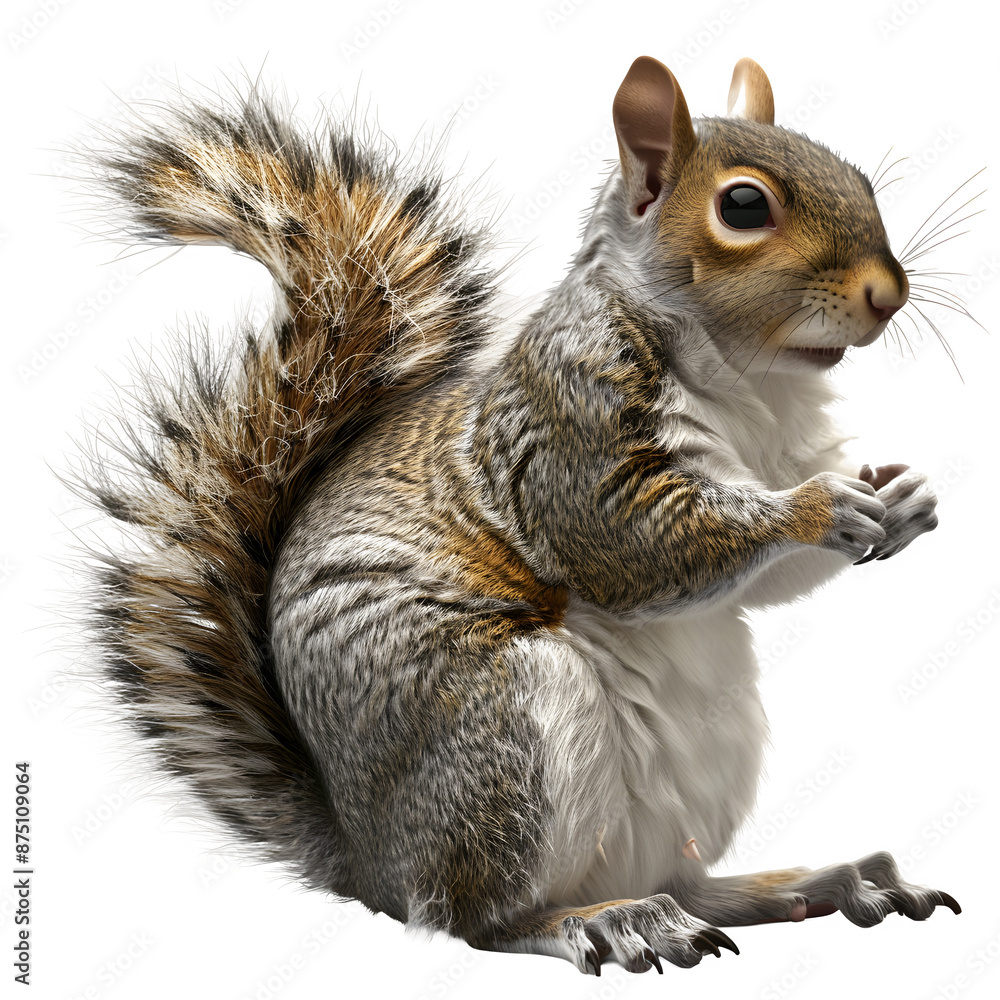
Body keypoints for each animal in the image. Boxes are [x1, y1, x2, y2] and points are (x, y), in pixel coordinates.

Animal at [74, 55, 960, 975]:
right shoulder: (569, 433)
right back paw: (608, 921)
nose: (888, 294)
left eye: (861, 177)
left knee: (684, 883)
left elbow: (764, 584)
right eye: (744, 206)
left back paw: (814, 881)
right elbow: (633, 542)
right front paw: (820, 506)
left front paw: (905, 497)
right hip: (506, 730)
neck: (755, 383)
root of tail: (372, 863)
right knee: (478, 917)